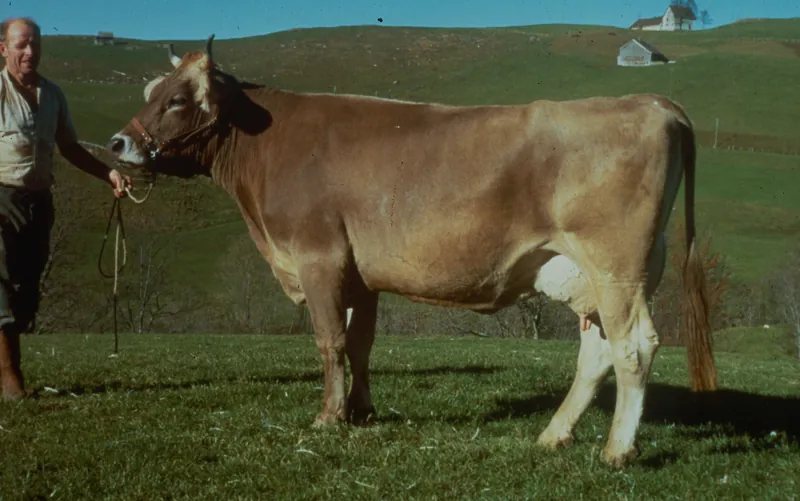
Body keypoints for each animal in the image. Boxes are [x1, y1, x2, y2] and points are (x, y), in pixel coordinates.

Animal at [106, 35, 717, 468]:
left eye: (177, 100)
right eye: (149, 94)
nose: (118, 142)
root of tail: (652, 101)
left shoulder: (317, 256)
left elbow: (329, 341)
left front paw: (328, 417)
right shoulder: (360, 272)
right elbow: (360, 344)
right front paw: (361, 410)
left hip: (617, 266)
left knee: (633, 345)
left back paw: (616, 449)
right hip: (591, 272)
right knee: (598, 351)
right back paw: (553, 434)